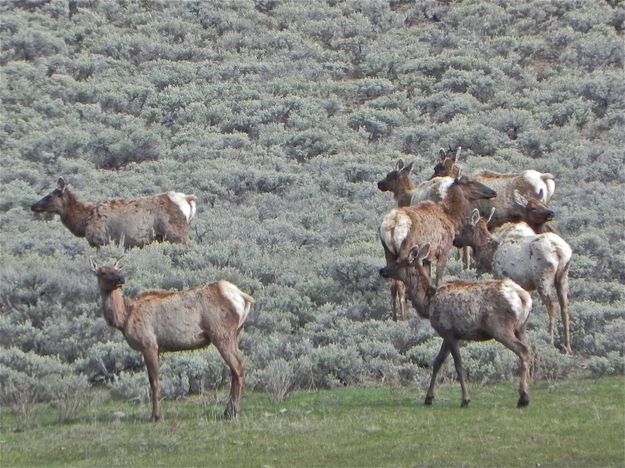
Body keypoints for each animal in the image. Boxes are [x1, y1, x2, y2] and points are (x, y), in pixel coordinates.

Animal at [31, 176, 196, 249]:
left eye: (49, 195)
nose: (33, 206)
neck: (83, 221)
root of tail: (188, 199)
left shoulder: (100, 241)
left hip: (177, 235)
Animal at [88, 258, 254, 422]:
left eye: (117, 270)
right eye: (102, 272)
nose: (121, 279)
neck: (124, 318)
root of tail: (243, 297)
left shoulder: (149, 344)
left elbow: (154, 380)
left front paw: (155, 415)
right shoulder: (157, 348)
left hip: (221, 334)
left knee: (238, 366)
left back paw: (230, 412)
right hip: (235, 333)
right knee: (237, 367)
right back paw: (231, 410)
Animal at [378, 176, 494, 322]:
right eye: (470, 182)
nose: (493, 192)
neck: (450, 216)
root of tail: (392, 226)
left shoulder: (426, 258)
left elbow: (427, 278)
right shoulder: (443, 251)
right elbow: (439, 277)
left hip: (388, 252)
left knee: (392, 285)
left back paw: (394, 317)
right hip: (404, 250)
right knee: (400, 284)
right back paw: (404, 317)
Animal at [380, 243, 532, 408]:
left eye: (397, 262)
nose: (382, 270)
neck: (428, 303)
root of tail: (523, 297)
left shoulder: (449, 331)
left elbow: (458, 364)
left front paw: (465, 399)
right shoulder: (448, 334)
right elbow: (437, 362)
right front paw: (429, 397)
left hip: (500, 327)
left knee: (523, 350)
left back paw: (523, 397)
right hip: (521, 327)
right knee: (529, 350)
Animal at [450, 210, 572, 352]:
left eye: (464, 228)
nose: (455, 240)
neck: (489, 255)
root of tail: (561, 252)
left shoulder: (499, 276)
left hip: (542, 278)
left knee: (552, 306)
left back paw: (551, 342)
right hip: (563, 277)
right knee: (564, 307)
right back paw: (567, 346)